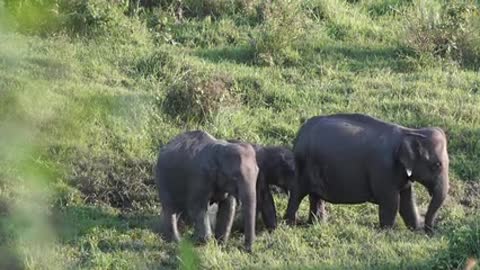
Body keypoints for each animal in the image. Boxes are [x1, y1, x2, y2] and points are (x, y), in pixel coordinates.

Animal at [284, 113, 450, 233]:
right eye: (437, 165)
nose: (430, 232)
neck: (410, 132)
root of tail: (301, 132)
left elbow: (407, 200)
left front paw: (415, 230)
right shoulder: (383, 169)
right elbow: (392, 201)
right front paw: (387, 233)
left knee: (315, 196)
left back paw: (317, 225)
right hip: (302, 165)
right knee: (297, 194)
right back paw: (290, 225)